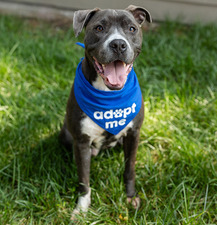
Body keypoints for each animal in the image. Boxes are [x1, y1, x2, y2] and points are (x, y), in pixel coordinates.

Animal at [58, 4, 152, 218]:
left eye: (132, 28)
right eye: (99, 28)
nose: (118, 44)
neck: (108, 94)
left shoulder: (134, 134)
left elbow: (129, 169)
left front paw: (130, 196)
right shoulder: (81, 141)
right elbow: (84, 180)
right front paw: (81, 209)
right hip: (67, 135)